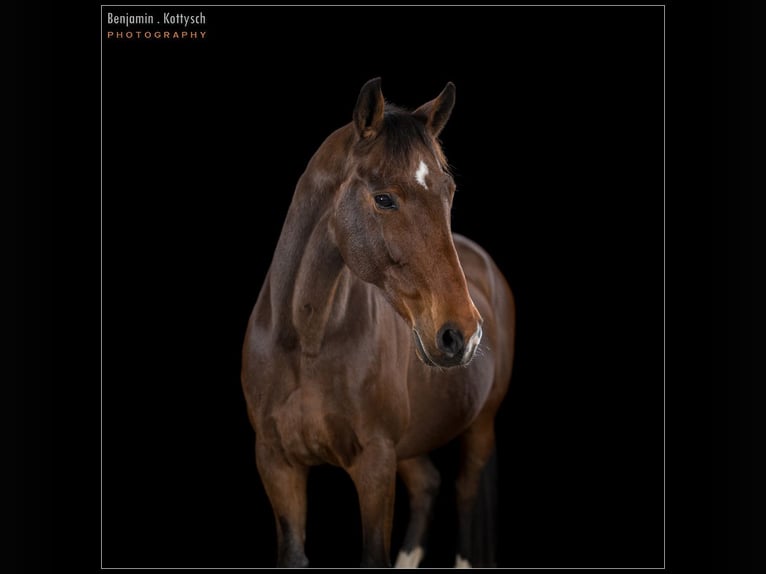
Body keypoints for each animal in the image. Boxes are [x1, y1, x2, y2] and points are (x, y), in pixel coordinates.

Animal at [241, 78, 515, 568]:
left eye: (449, 191)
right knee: (427, 486)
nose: (461, 334)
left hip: (479, 429)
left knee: (464, 501)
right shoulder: (276, 465)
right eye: (384, 198)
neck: (306, 341)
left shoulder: (374, 467)